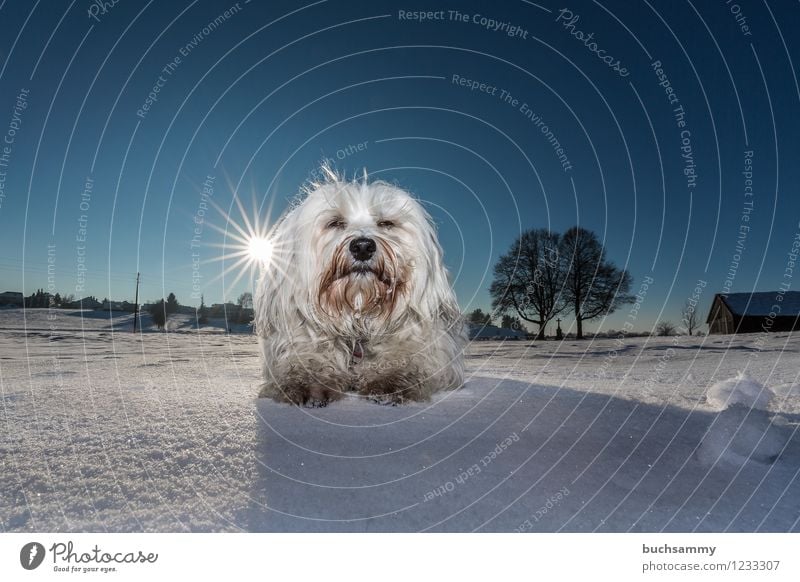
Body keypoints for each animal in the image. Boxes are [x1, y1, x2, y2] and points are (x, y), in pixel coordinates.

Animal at [253, 169, 466, 406]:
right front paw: (308, 381)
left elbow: (407, 354)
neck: (359, 311)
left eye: (386, 223)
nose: (363, 247)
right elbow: (309, 356)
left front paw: (391, 378)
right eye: (335, 223)